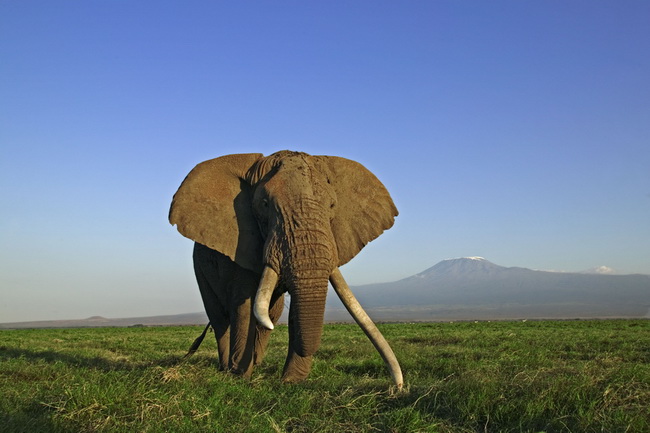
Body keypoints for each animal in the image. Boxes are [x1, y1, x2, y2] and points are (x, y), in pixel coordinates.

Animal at [169, 150, 403, 387]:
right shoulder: (241, 245)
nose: (398, 387)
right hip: (199, 269)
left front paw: (291, 381)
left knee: (271, 313)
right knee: (220, 319)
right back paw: (226, 368)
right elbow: (244, 307)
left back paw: (255, 362)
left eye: (332, 206)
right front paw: (240, 378)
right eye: (264, 204)